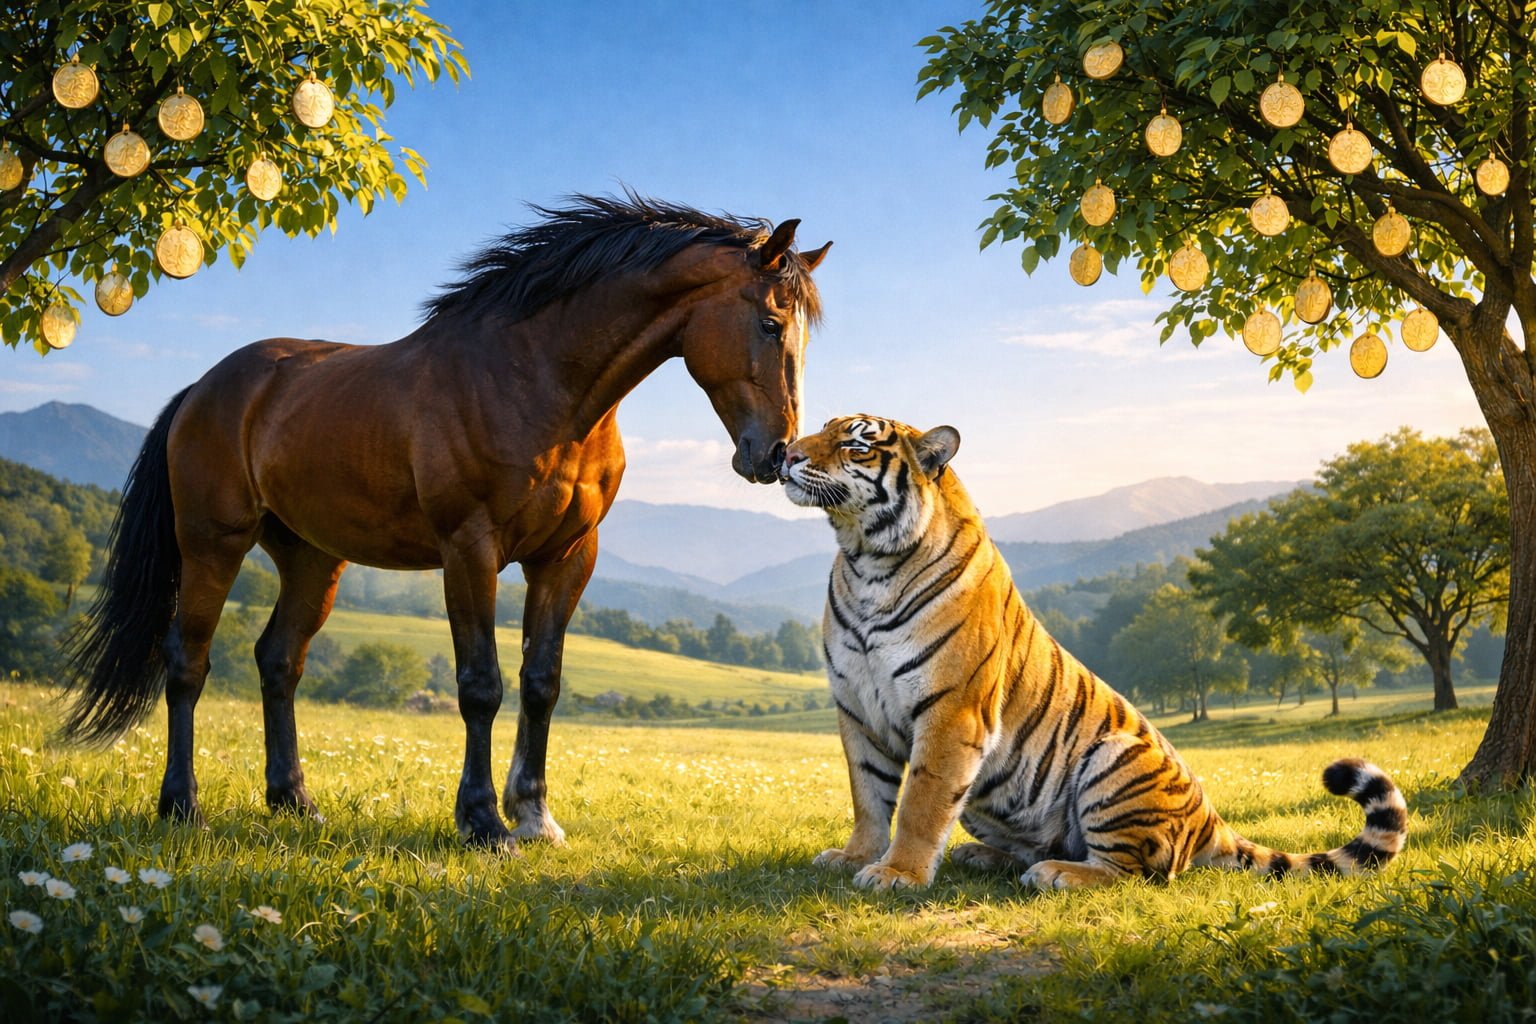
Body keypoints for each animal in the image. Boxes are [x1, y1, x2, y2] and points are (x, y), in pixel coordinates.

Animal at [60, 194, 831, 848]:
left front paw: (535, 817)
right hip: (211, 546)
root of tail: (205, 387)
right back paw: (181, 805)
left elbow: (541, 683)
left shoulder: (568, 557)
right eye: (769, 325)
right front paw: (483, 822)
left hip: (313, 560)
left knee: (278, 661)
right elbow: (481, 685)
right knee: (186, 663)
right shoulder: (470, 551)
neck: (535, 382)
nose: (774, 454)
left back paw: (295, 802)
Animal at [779, 414, 1408, 891]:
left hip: (1116, 760)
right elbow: (868, 794)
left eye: (855, 443)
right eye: (824, 427)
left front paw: (897, 874)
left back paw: (1059, 874)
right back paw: (984, 856)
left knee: (1136, 872)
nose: (785, 453)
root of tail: (1211, 818)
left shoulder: (951, 712)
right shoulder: (858, 708)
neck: (866, 559)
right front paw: (856, 857)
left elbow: (920, 801)